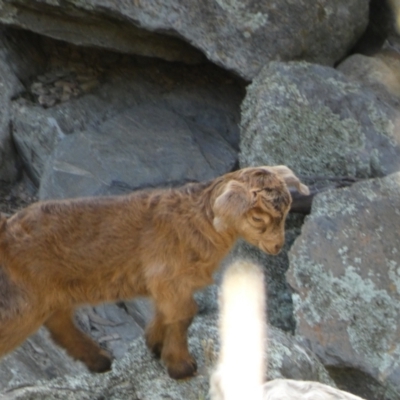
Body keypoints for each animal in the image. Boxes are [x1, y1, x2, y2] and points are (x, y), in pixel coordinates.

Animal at [0, 165, 310, 378]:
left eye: (287, 212)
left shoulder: (169, 282)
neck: (198, 221)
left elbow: (171, 313)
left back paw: (99, 360)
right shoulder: (168, 277)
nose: (277, 246)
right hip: (24, 302)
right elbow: (184, 314)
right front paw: (181, 366)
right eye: (258, 218)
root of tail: (6, 230)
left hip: (49, 293)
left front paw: (156, 344)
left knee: (59, 323)